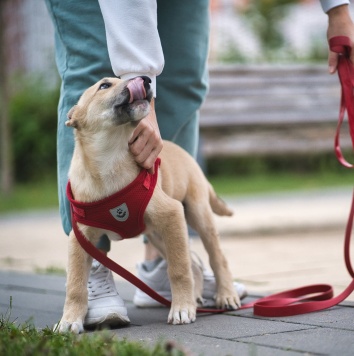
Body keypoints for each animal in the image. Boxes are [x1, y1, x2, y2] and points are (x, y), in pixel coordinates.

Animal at [58, 76, 241, 334]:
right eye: (104, 85)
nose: (144, 79)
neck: (109, 162)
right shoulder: (80, 237)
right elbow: (75, 283)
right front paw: (70, 320)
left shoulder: (171, 212)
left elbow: (179, 270)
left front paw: (181, 309)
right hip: (158, 235)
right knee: (193, 265)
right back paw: (196, 298)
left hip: (196, 216)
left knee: (216, 258)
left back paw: (225, 295)